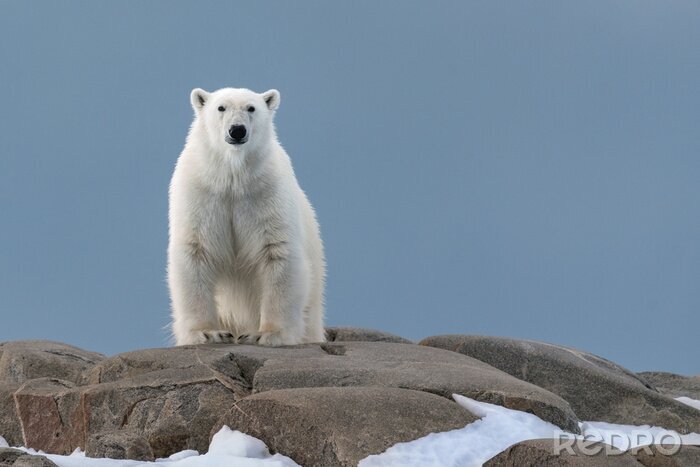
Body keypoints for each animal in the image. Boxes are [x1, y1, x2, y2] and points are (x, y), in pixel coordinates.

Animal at [167, 87, 325, 346]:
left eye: (251, 108)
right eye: (221, 107)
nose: (237, 130)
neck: (233, 175)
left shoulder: (266, 192)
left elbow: (277, 251)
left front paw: (268, 334)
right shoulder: (201, 192)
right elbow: (196, 251)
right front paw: (207, 333)